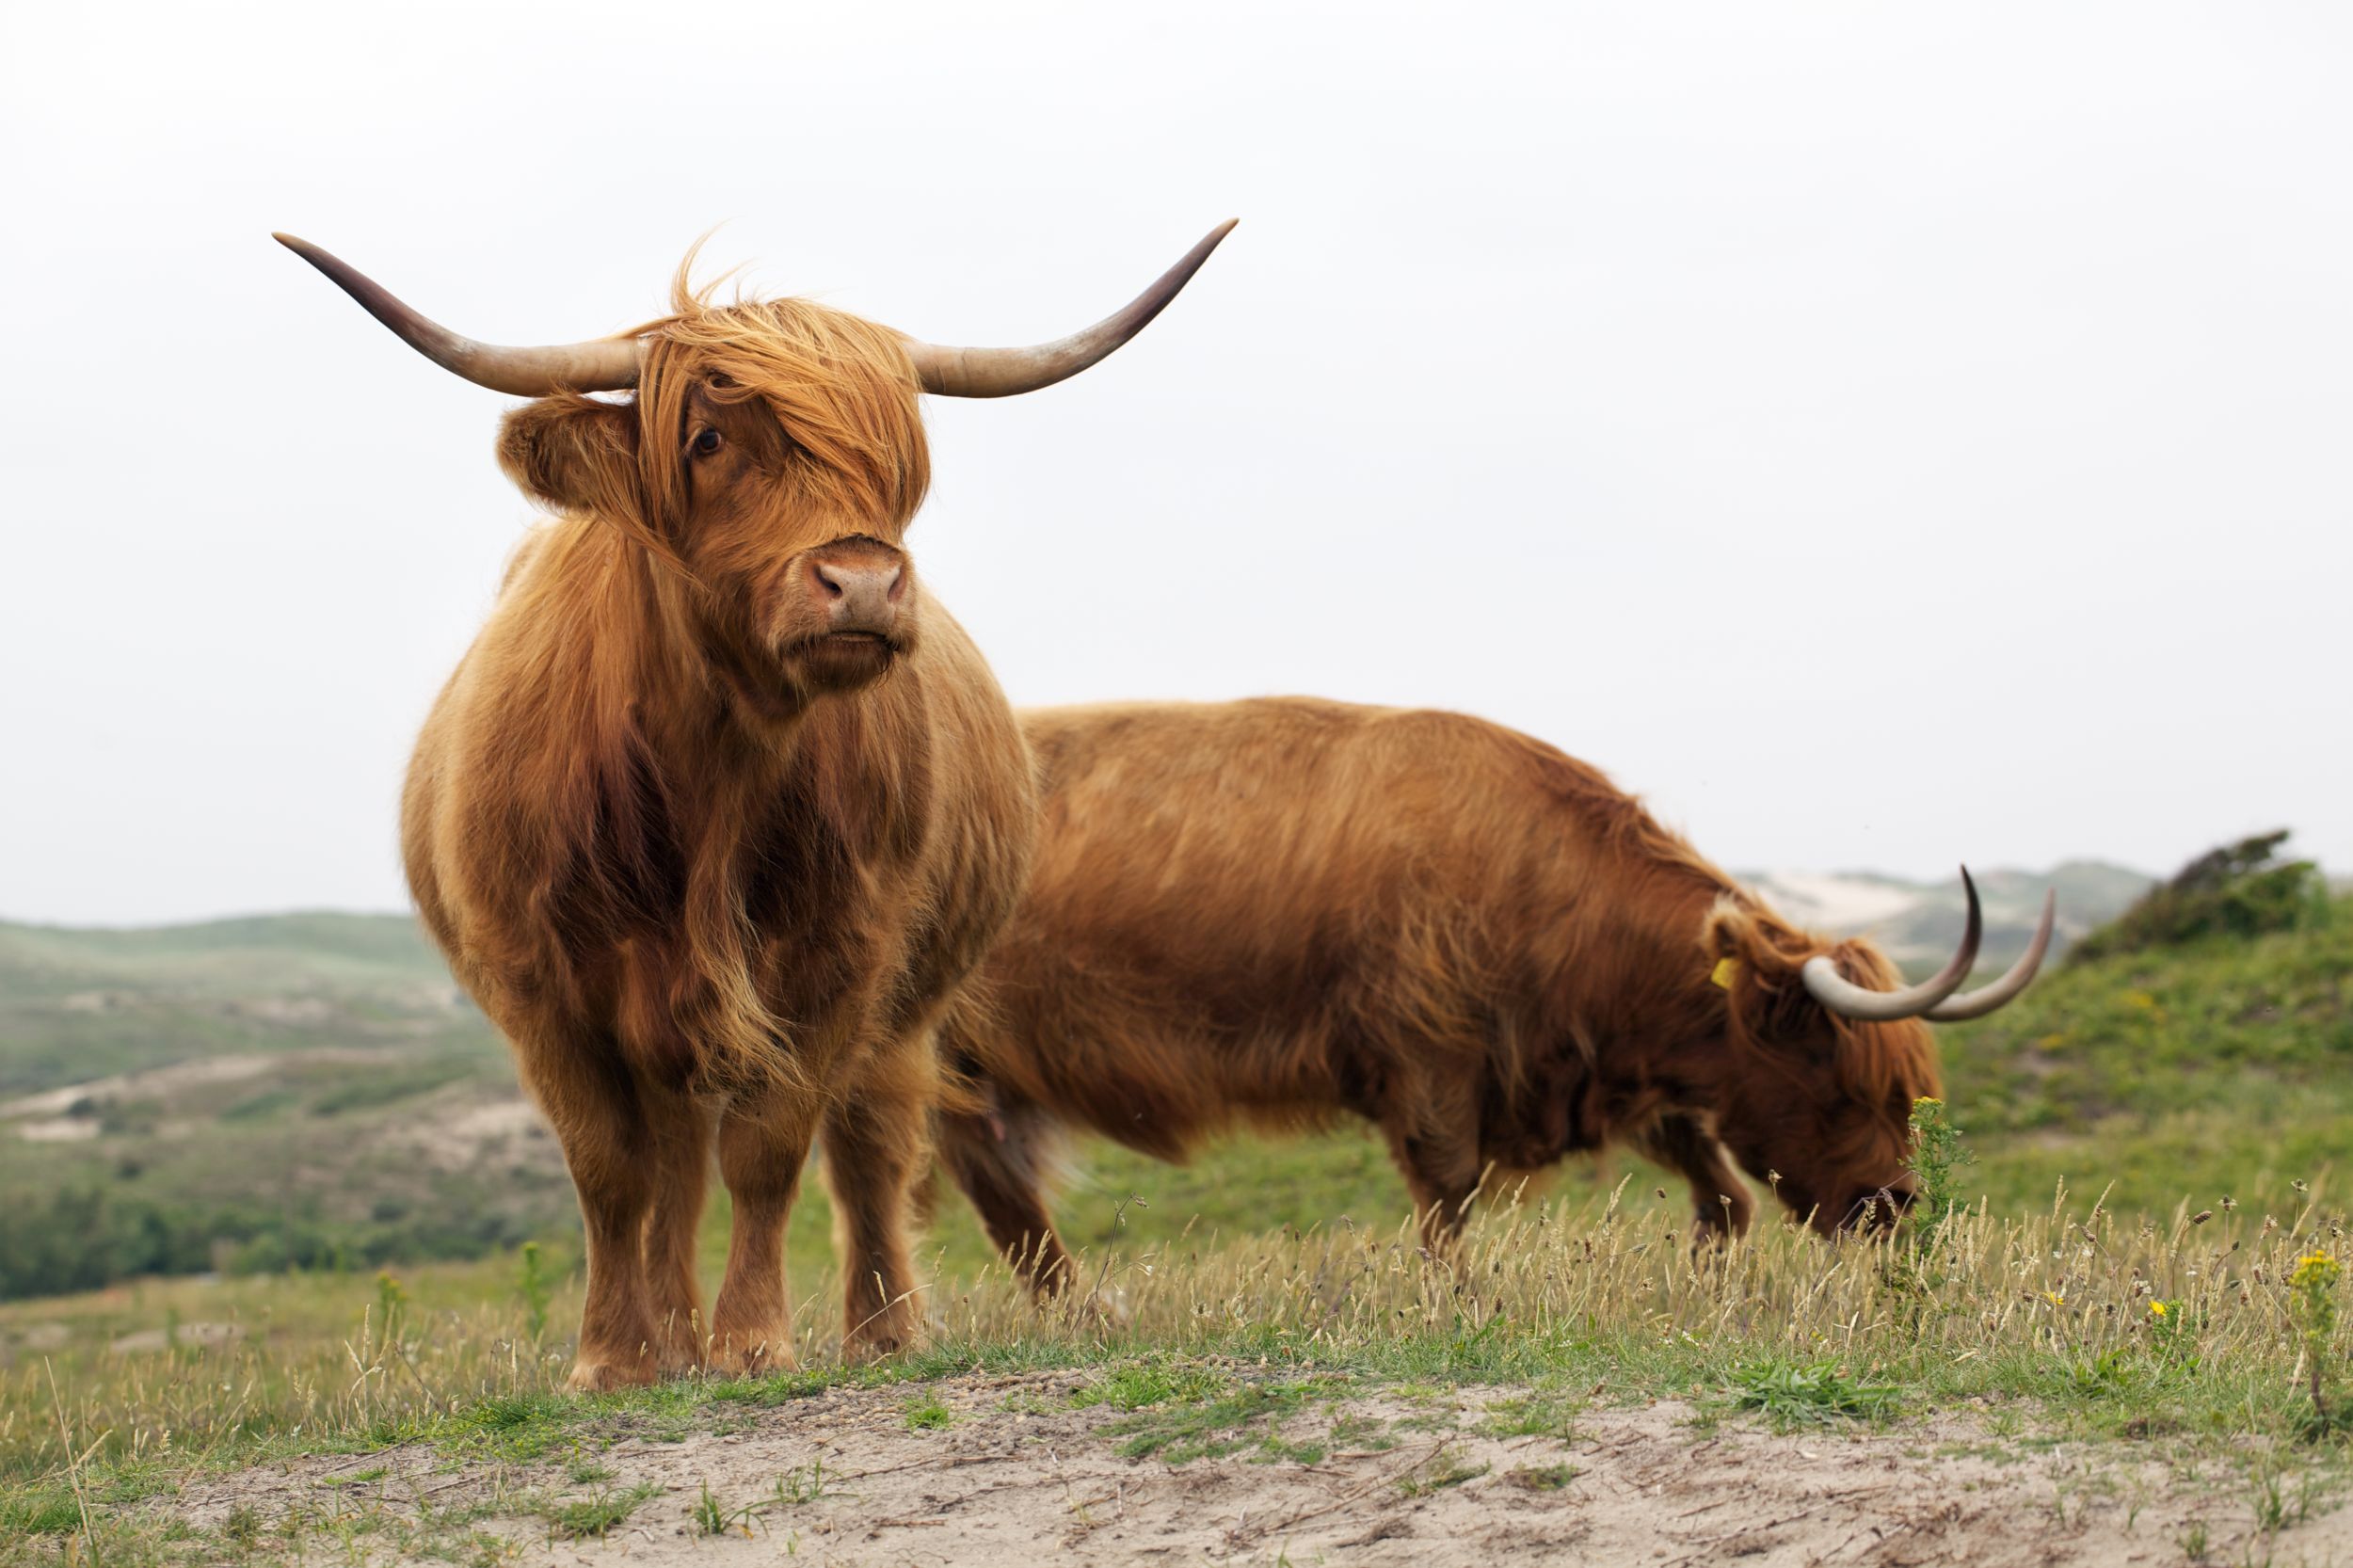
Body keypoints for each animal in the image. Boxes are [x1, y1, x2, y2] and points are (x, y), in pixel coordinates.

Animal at [275, 222, 1233, 1384]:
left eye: (896, 459)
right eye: (704, 440)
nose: (862, 584)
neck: (704, 781)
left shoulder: (839, 958)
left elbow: (771, 1148)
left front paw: (751, 1340)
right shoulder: (538, 983)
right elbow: (609, 1170)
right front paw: (615, 1357)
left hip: (904, 1005)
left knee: (863, 1147)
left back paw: (875, 1329)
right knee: (675, 1170)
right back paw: (671, 1337)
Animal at [927, 696, 2052, 1289]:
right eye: (1842, 1081)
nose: (1898, 1204)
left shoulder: (1617, 1075)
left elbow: (1723, 1194)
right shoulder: (1428, 1055)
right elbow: (1448, 1196)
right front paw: (1450, 1300)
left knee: (998, 1198)